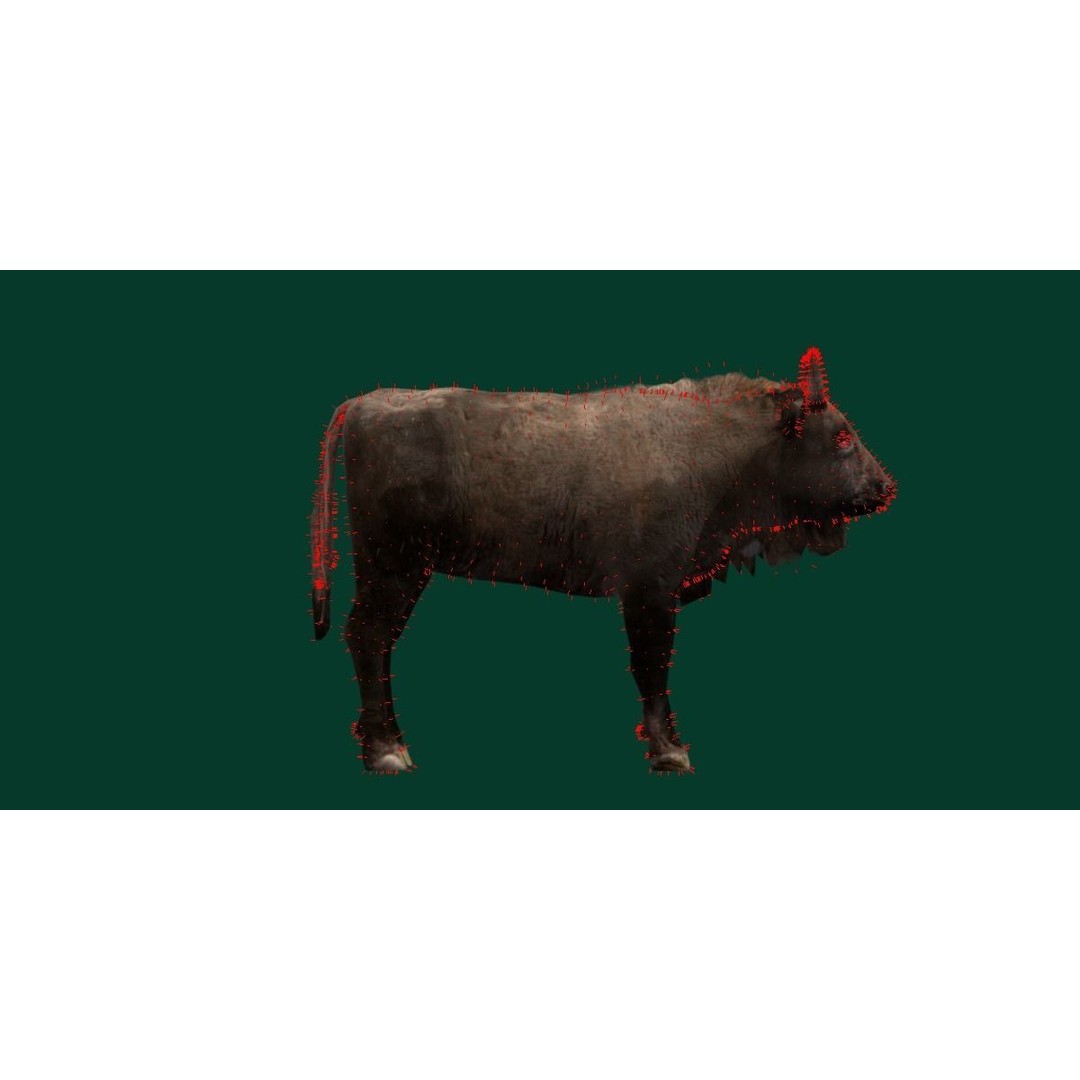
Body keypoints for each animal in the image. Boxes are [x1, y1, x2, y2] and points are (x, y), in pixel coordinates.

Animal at [310, 347, 895, 773]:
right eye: (842, 437)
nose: (883, 487)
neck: (724, 445)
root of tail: (366, 402)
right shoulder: (650, 590)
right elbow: (652, 667)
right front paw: (671, 753)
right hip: (396, 569)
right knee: (369, 636)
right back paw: (388, 752)